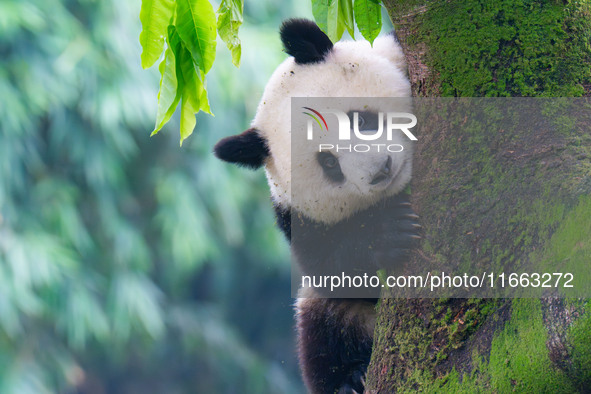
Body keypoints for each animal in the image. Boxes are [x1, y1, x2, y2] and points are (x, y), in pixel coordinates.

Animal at [214, 19, 420, 394]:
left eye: (360, 121)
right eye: (329, 163)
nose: (381, 170)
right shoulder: (297, 217)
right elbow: (329, 268)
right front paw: (390, 233)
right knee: (325, 327)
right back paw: (351, 378)